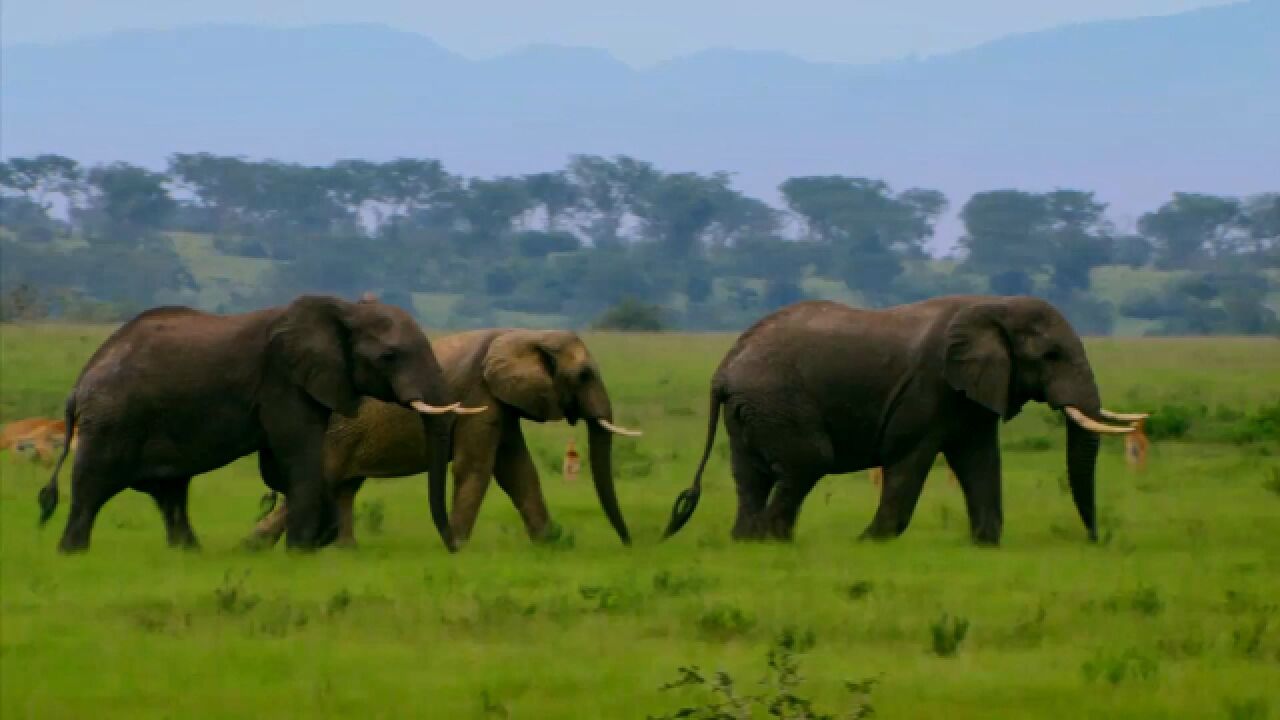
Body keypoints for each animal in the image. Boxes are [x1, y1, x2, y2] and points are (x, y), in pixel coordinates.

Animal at [37, 294, 483, 550]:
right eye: (389, 357)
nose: (454, 548)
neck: (342, 308)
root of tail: (79, 384)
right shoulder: (282, 382)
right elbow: (299, 456)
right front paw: (302, 550)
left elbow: (279, 468)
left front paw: (316, 541)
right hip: (112, 420)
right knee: (92, 486)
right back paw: (72, 552)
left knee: (171, 492)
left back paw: (188, 552)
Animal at [245, 327, 645, 545]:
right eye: (584, 375)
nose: (629, 543)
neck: (524, 332)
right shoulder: (479, 393)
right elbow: (477, 467)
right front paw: (457, 545)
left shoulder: (500, 400)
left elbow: (518, 471)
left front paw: (552, 546)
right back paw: (253, 548)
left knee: (344, 487)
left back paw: (342, 551)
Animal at [665, 294, 1146, 545]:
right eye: (1051, 356)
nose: (1095, 540)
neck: (992, 306)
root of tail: (725, 367)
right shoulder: (929, 387)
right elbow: (909, 461)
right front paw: (871, 542)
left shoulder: (971, 394)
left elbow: (980, 461)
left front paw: (985, 545)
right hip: (777, 402)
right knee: (807, 463)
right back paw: (772, 540)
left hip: (750, 411)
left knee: (752, 476)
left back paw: (749, 541)